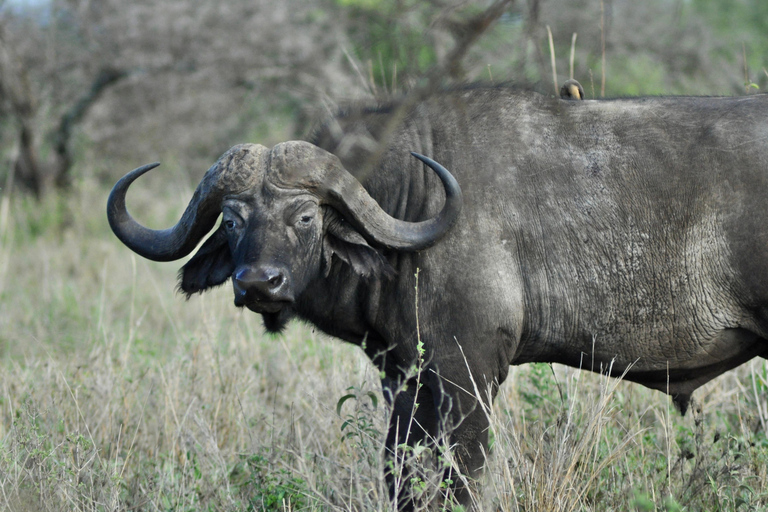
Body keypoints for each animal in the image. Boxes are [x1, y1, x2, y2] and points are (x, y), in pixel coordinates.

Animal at [106, 88, 768, 508]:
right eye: (235, 219)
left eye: (305, 217)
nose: (257, 283)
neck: (413, 204)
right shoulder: (403, 378)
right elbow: (399, 471)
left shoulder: (467, 374)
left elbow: (463, 476)